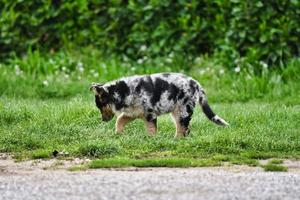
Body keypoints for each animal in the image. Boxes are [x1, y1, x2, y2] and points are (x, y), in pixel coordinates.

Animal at [90, 72, 229, 138]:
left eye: (100, 106)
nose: (103, 120)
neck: (124, 91)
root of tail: (197, 84)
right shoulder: (133, 113)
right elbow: (119, 120)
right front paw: (117, 135)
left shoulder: (150, 114)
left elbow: (151, 130)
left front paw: (151, 140)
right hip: (177, 112)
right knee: (183, 129)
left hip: (183, 111)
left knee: (183, 129)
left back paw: (175, 141)